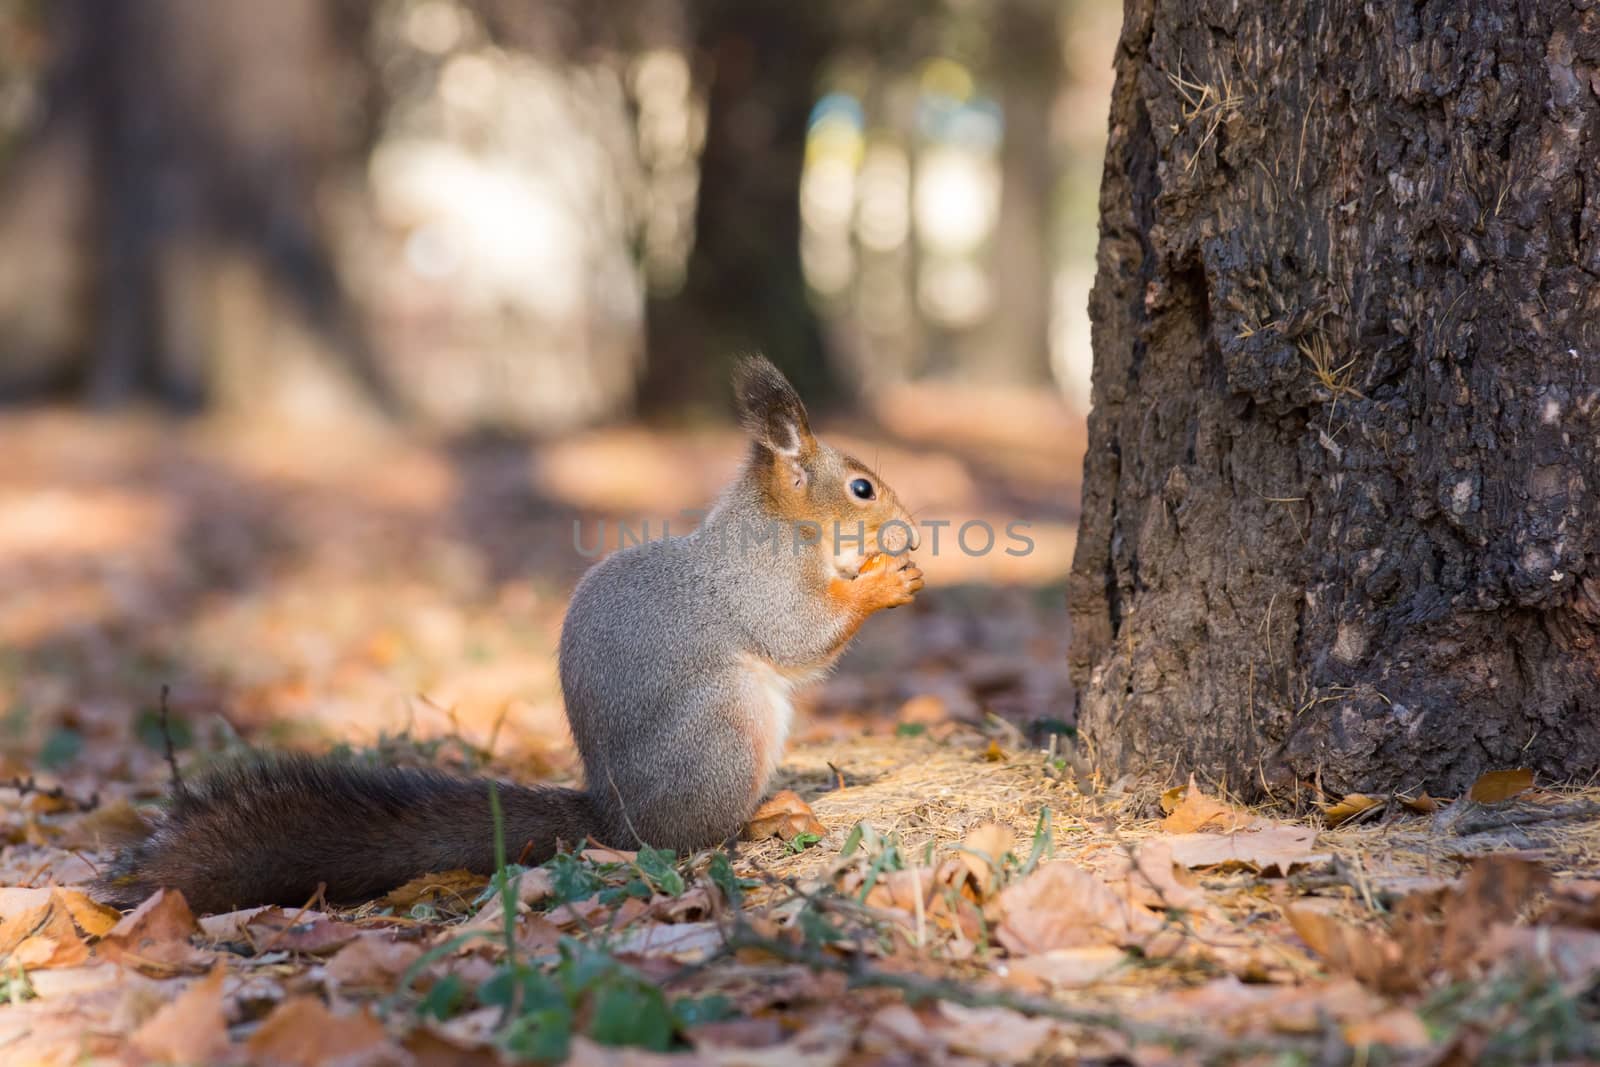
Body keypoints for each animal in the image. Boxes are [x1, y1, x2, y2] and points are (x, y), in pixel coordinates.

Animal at [96, 355, 928, 915]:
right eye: (862, 488)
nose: (912, 531)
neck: (784, 527)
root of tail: (611, 816)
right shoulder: (761, 585)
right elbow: (800, 634)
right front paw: (887, 580)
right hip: (726, 728)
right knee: (692, 837)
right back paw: (766, 813)